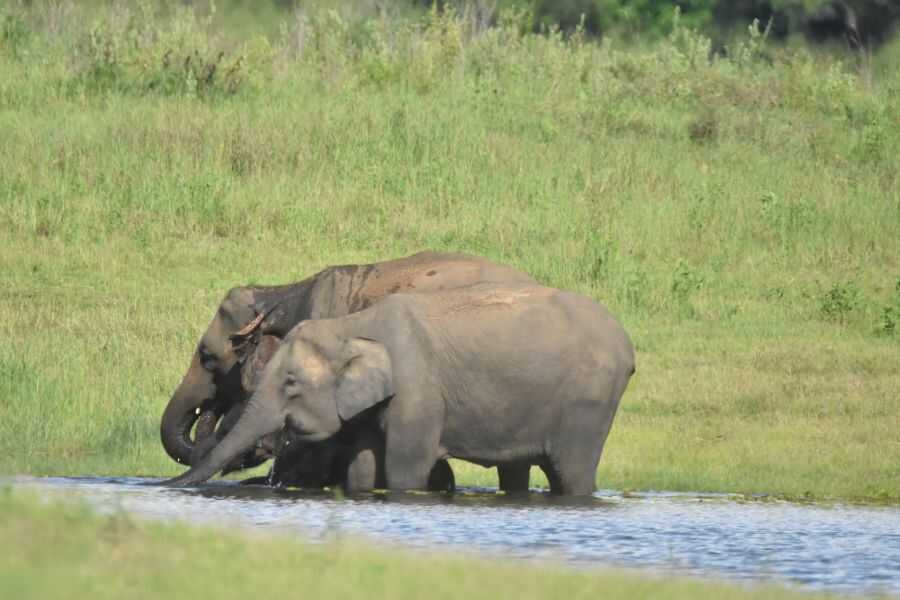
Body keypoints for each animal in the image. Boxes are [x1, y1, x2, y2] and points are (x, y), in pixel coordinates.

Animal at [163, 282, 636, 495]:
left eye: (291, 383)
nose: (167, 485)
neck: (352, 325)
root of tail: (628, 346)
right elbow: (363, 464)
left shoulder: (418, 389)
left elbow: (408, 465)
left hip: (589, 405)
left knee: (571, 473)